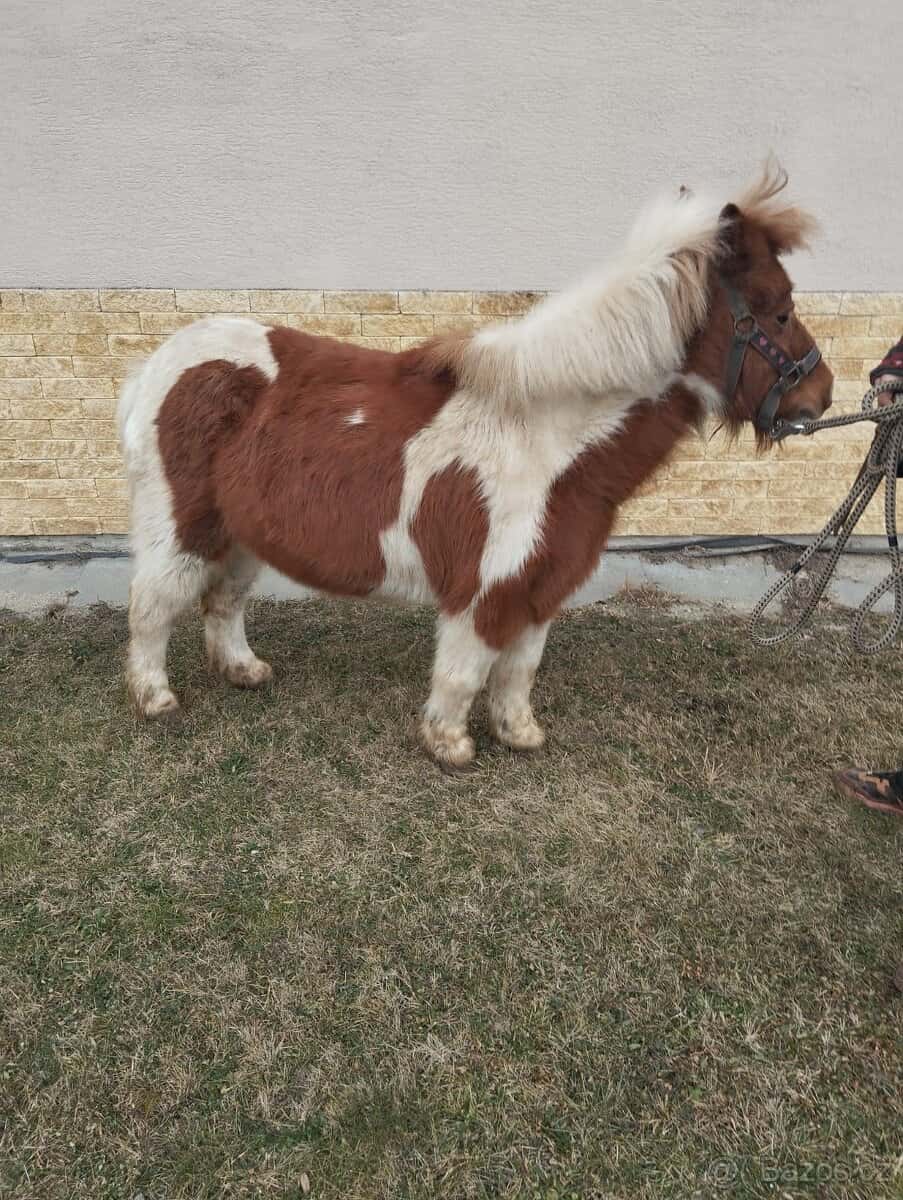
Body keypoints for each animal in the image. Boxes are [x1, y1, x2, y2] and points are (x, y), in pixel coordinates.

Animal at [119, 163, 833, 767]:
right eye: (778, 309)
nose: (820, 397)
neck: (546, 438)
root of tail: (157, 366)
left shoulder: (542, 585)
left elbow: (518, 671)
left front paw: (519, 735)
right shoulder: (484, 590)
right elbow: (464, 671)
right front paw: (450, 746)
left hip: (240, 531)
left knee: (223, 600)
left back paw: (244, 671)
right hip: (181, 527)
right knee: (152, 604)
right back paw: (155, 698)